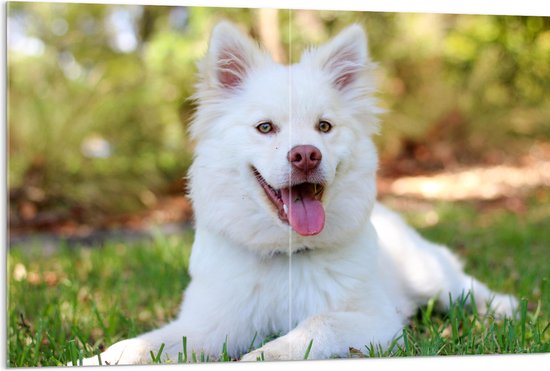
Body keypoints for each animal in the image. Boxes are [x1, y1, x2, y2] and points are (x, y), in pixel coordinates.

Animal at [78, 21, 520, 366]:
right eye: (265, 128)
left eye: (324, 127)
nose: (306, 154)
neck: (285, 255)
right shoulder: (206, 326)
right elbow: (145, 344)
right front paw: (96, 358)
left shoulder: (376, 320)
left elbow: (316, 325)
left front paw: (265, 354)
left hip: (428, 276)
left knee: (465, 287)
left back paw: (504, 307)